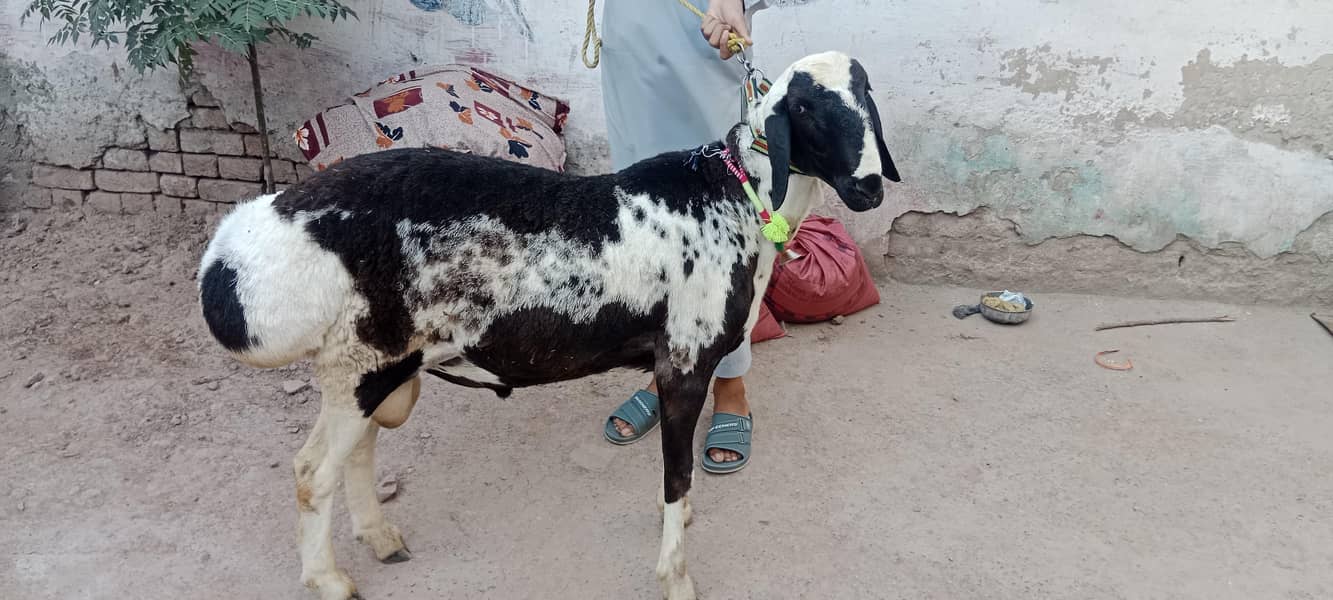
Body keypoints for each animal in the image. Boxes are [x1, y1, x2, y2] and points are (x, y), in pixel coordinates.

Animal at [197, 50, 900, 600]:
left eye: (865, 95)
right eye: (805, 108)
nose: (869, 188)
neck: (733, 197)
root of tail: (256, 236)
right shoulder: (683, 360)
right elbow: (675, 477)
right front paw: (675, 575)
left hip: (371, 363)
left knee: (357, 452)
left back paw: (380, 537)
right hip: (363, 362)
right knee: (312, 471)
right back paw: (332, 579)